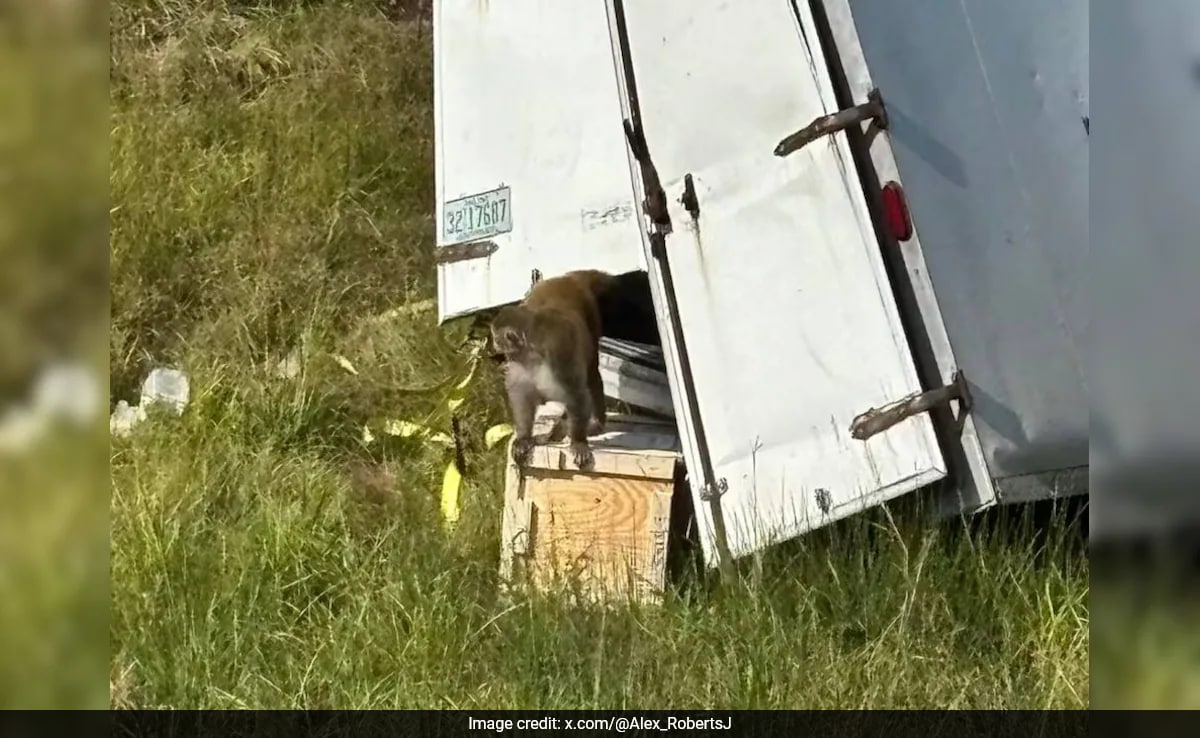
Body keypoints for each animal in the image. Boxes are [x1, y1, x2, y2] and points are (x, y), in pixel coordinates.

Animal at [490, 270, 612, 470]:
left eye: (495, 337)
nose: (493, 344)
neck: (531, 352)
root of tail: (566, 278)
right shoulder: (519, 362)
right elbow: (521, 396)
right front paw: (524, 438)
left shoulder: (558, 352)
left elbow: (576, 394)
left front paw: (578, 442)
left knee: (592, 373)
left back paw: (595, 422)